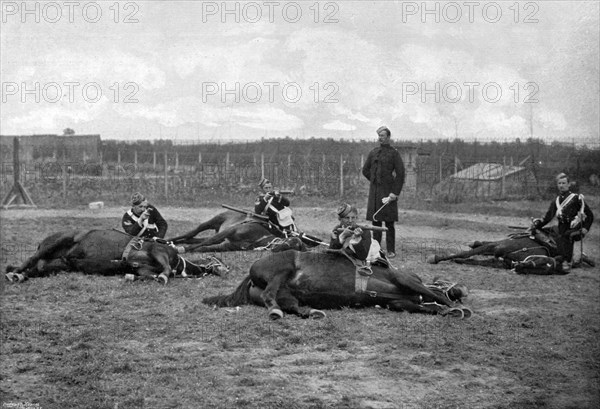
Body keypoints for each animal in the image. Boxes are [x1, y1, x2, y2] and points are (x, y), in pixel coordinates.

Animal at [166, 210, 322, 252]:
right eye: (293, 241)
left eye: (298, 247)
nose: (276, 248)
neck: (258, 238)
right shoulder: (229, 231)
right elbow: (206, 243)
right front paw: (182, 249)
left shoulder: (227, 244)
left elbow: (205, 247)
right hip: (212, 222)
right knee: (191, 233)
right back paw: (169, 240)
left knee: (193, 239)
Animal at [204, 249, 472, 318]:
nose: (463, 290)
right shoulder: (403, 279)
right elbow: (438, 296)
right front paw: (455, 306)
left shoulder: (398, 303)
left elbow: (425, 305)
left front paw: (445, 309)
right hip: (282, 269)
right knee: (271, 296)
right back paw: (276, 312)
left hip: (287, 294)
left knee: (291, 305)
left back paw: (310, 312)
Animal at [426, 226, 592, 274]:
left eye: (546, 267)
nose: (520, 267)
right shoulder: (496, 249)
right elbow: (470, 253)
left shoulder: (496, 254)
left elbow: (471, 256)